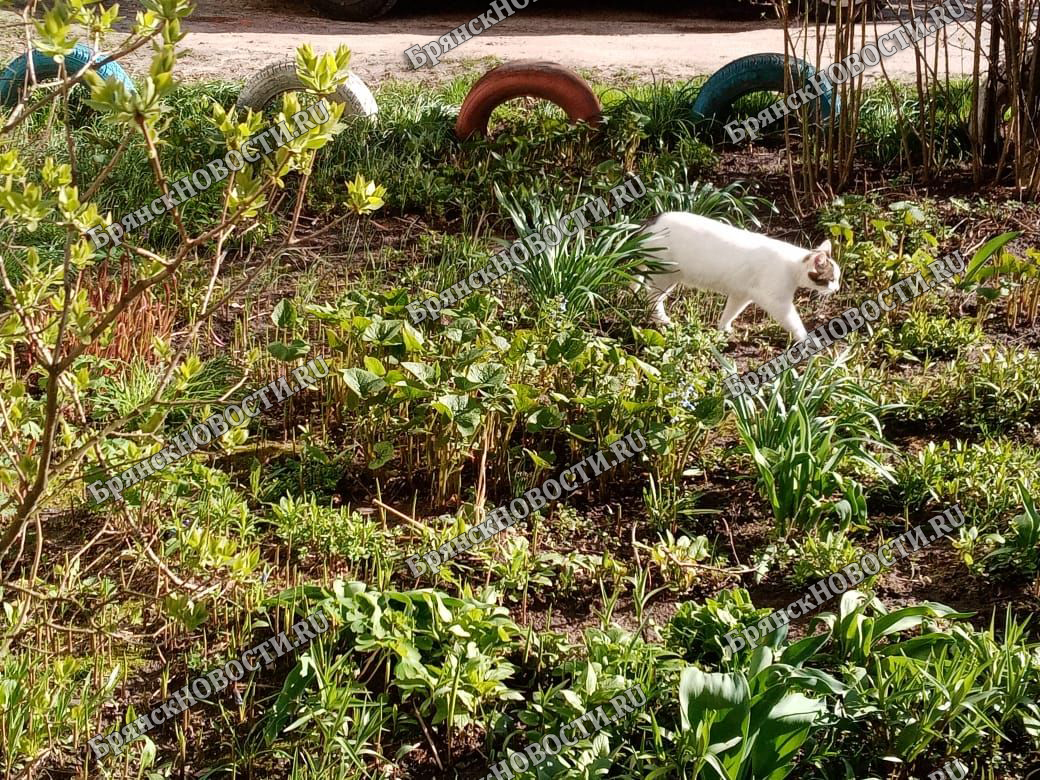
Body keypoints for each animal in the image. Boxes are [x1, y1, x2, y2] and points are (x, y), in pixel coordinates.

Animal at [628, 212, 840, 341]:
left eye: (837, 279)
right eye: (831, 279)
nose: (837, 288)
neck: (794, 265)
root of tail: (653, 219)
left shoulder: (742, 295)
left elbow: (730, 313)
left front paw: (723, 329)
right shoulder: (778, 302)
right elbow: (795, 323)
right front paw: (806, 339)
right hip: (666, 276)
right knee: (651, 299)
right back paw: (663, 320)